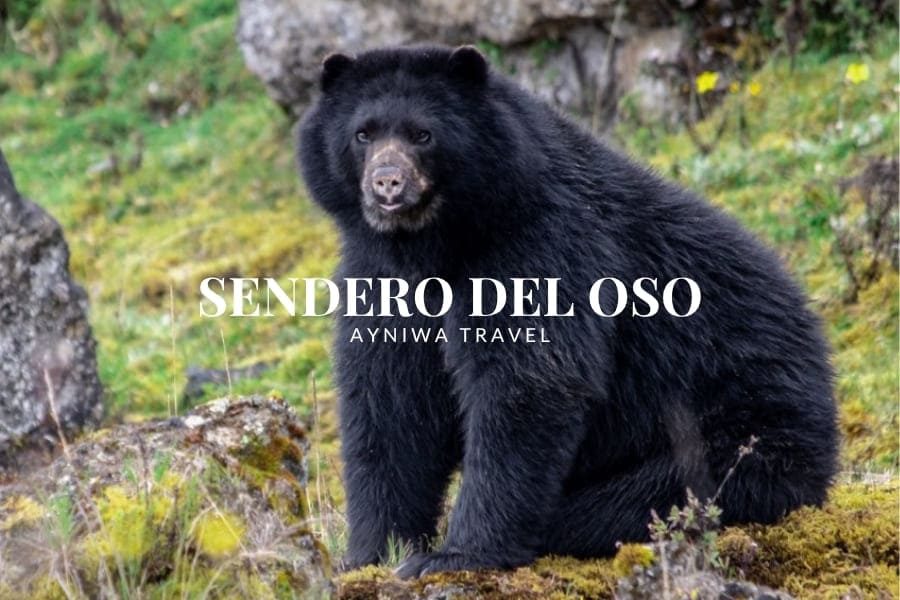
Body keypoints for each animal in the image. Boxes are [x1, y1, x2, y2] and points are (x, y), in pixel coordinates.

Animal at [297, 45, 838, 578]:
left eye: (423, 134)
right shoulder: (378, 276)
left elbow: (531, 380)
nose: (387, 183)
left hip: (743, 436)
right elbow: (389, 400)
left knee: (644, 498)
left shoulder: (544, 245)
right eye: (363, 133)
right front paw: (370, 553)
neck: (434, 245)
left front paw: (453, 555)